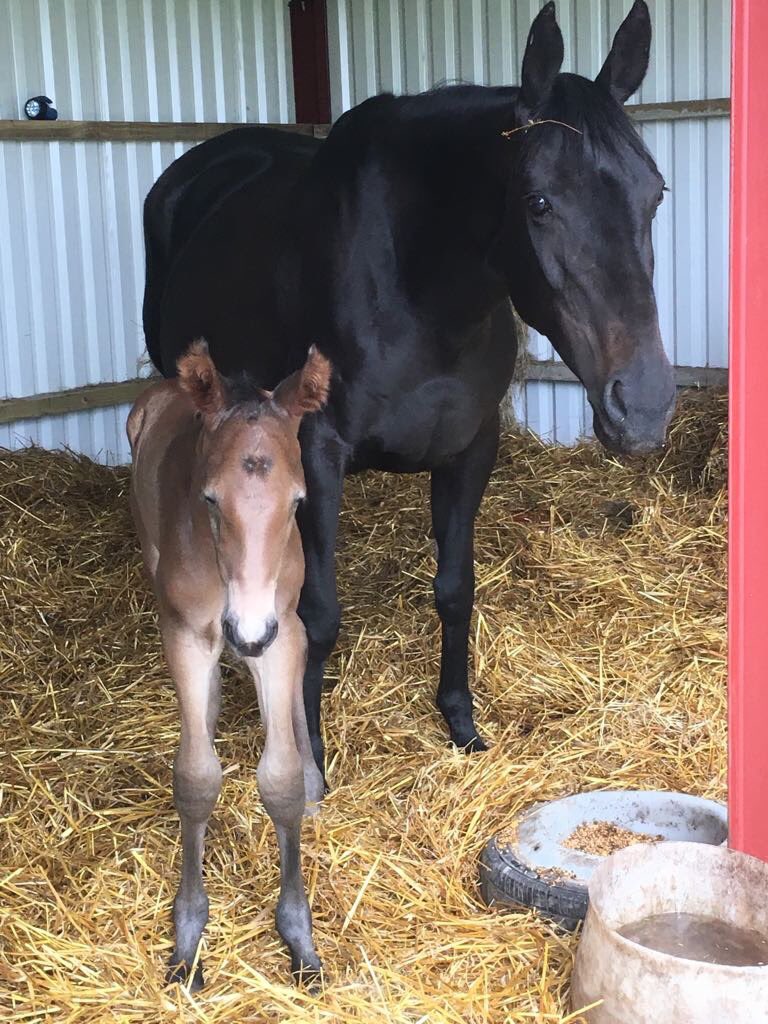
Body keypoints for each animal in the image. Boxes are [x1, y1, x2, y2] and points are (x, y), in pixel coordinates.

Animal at [127, 341, 332, 987]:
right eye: (210, 499)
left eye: (298, 502)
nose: (247, 630)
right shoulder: (188, 634)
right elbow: (196, 778)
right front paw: (188, 936)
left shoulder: (281, 629)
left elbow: (281, 780)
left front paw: (299, 939)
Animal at [141, 1, 674, 778]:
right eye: (540, 201)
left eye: (655, 191)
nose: (643, 406)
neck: (420, 290)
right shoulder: (317, 451)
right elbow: (318, 613)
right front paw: (309, 757)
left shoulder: (471, 447)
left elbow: (454, 589)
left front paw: (460, 722)